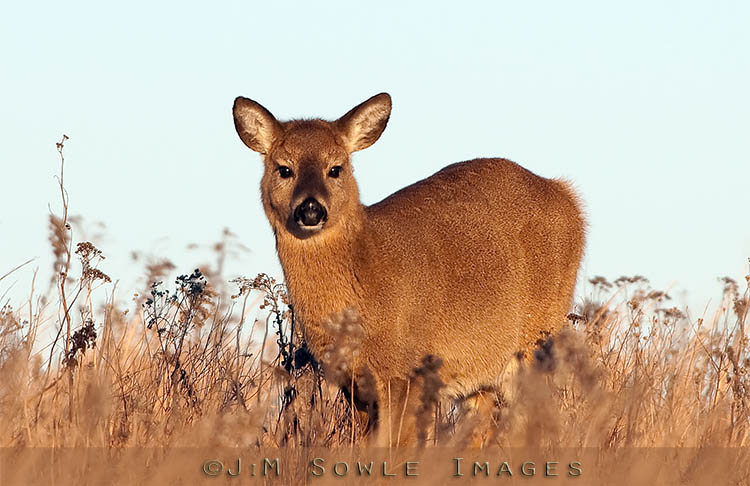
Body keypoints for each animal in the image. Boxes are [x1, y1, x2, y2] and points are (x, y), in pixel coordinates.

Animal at [234, 93, 588, 446]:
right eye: (284, 169)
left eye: (335, 168)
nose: (310, 209)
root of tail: (567, 196)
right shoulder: (355, 385)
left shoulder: (406, 371)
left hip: (537, 335)